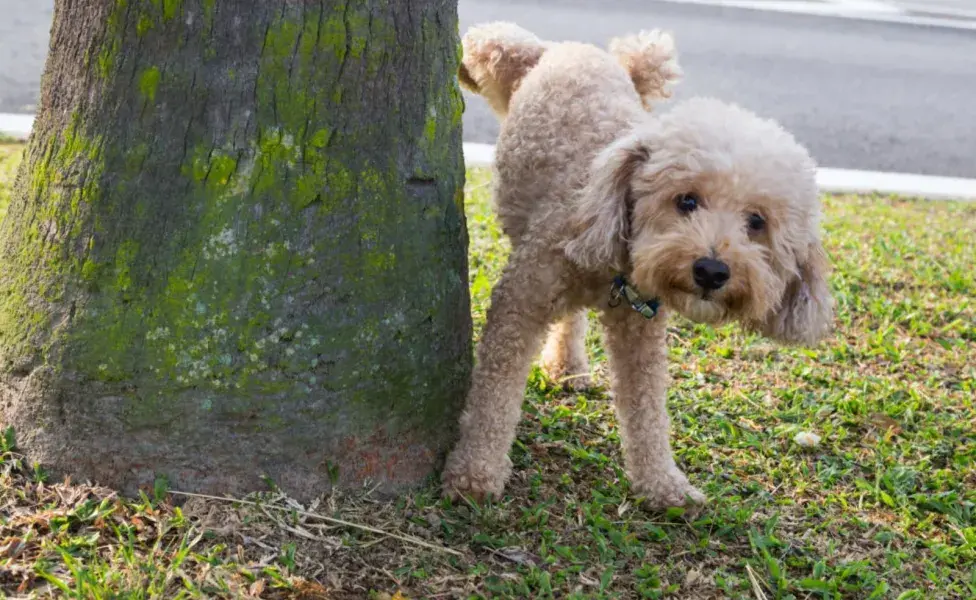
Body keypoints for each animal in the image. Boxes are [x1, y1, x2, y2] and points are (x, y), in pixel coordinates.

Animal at [446, 23, 836, 510]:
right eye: (686, 200)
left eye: (757, 222)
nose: (712, 271)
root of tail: (578, 49)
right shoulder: (521, 302)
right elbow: (495, 393)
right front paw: (475, 472)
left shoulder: (640, 330)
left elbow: (647, 409)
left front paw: (663, 484)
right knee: (493, 38)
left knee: (572, 319)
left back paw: (568, 366)